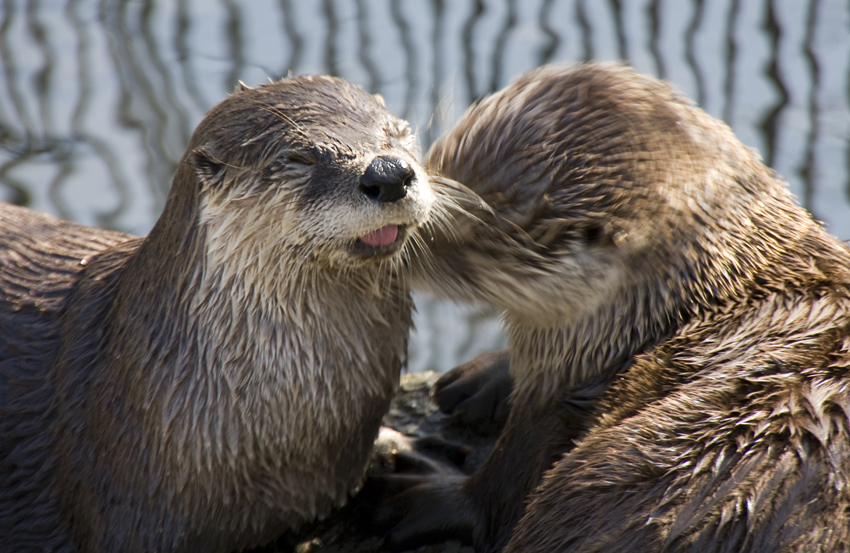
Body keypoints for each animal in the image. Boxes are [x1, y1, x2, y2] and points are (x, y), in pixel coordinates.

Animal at [380, 62, 848, 548]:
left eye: (468, 232)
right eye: (429, 172)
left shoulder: (559, 391)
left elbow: (499, 493)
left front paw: (428, 489)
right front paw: (484, 376)